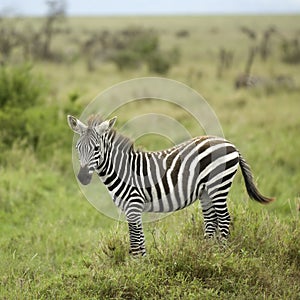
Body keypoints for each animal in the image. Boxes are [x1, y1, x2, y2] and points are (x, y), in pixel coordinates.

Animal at [68, 114, 274, 255]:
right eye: (77, 148)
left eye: (96, 148)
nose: (83, 178)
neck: (123, 170)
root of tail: (230, 144)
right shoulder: (129, 208)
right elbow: (138, 239)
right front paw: (140, 265)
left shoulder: (134, 205)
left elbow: (136, 240)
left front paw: (137, 267)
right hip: (206, 191)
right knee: (211, 220)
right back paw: (207, 254)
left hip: (218, 185)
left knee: (223, 219)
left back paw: (220, 255)